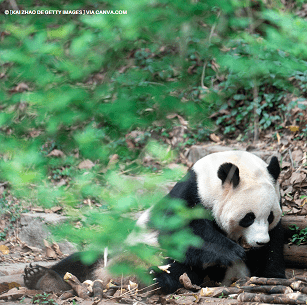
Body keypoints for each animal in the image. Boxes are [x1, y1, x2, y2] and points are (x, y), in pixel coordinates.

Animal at [24, 151, 286, 294]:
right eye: (248, 217)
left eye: (269, 216)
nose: (260, 242)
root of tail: (107, 276)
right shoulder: (189, 195)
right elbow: (180, 234)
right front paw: (232, 252)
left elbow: (275, 248)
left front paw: (271, 274)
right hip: (121, 250)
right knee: (79, 261)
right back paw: (42, 278)